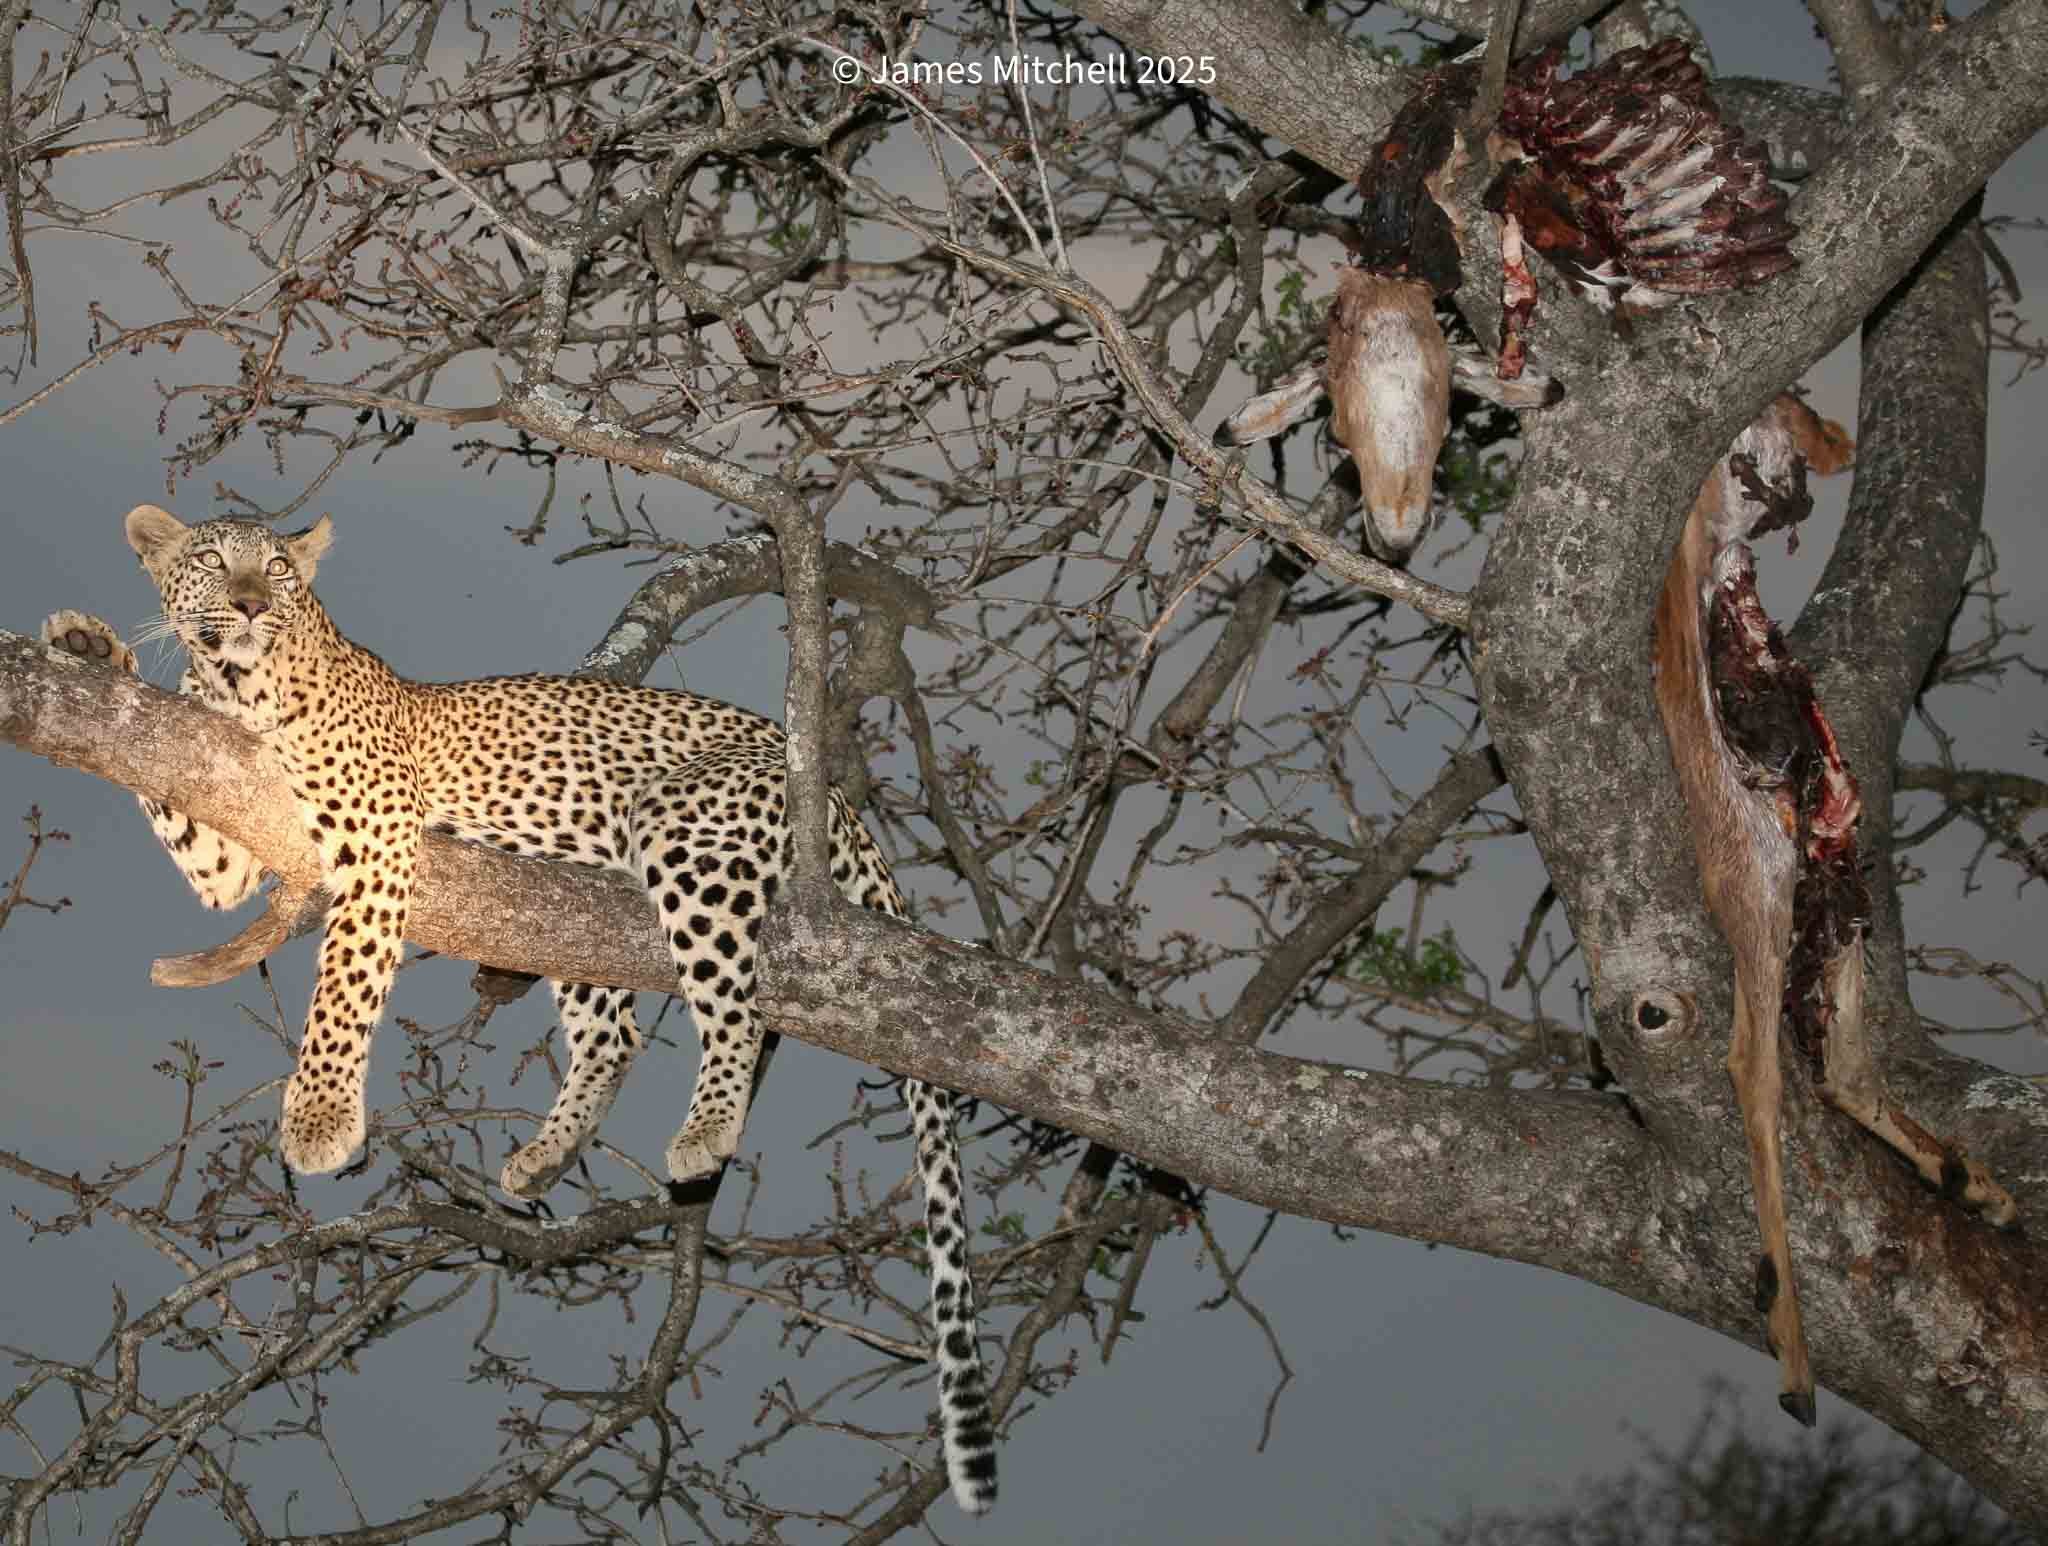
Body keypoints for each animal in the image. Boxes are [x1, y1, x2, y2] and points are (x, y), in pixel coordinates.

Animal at [42, 503, 998, 1515]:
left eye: (278, 569)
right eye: (210, 560)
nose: (254, 602)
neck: (236, 685)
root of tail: (827, 790)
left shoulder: (377, 838)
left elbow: (344, 982)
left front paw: (321, 1120)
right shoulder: (229, 847)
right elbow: (178, 812)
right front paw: (85, 647)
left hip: (686, 835)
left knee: (734, 1005)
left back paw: (703, 1132)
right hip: (568, 914)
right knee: (616, 1031)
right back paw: (548, 1155)